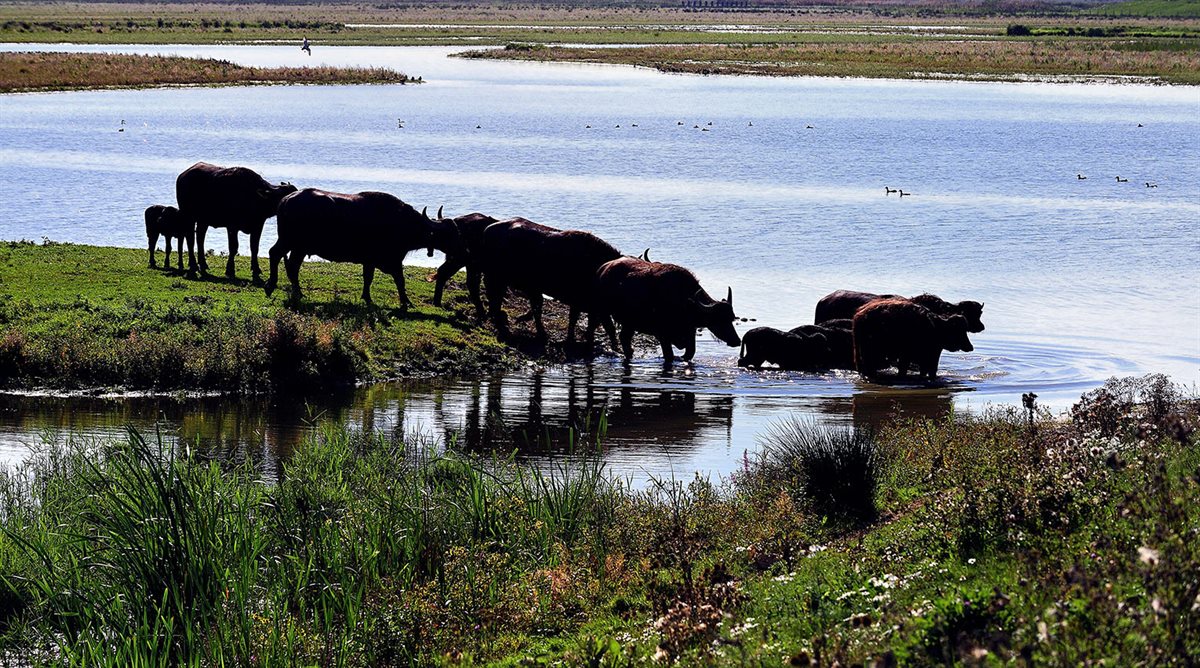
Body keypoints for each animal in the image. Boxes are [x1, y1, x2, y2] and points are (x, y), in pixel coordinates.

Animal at [264, 187, 458, 307]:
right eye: (448, 235)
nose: (458, 251)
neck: (400, 221)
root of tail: (286, 200)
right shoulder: (393, 260)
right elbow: (400, 280)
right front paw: (406, 302)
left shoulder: (370, 261)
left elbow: (368, 278)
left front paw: (367, 297)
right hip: (290, 242)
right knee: (275, 254)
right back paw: (271, 285)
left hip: (298, 247)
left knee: (291, 266)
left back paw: (297, 291)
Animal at [585, 256, 734, 364]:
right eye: (719, 320)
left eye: (731, 318)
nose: (736, 341)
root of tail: (602, 269)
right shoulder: (663, 334)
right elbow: (669, 356)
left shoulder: (690, 332)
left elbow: (689, 353)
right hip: (599, 311)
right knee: (597, 329)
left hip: (629, 323)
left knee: (623, 337)